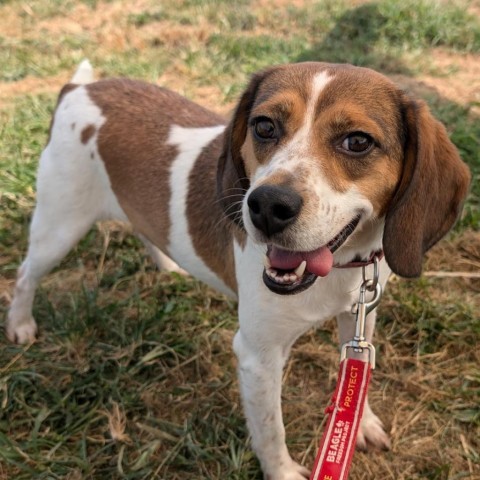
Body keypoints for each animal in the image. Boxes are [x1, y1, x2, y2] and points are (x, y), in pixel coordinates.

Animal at [5, 62, 470, 478]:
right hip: (58, 228)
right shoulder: (258, 358)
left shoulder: (359, 318)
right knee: (26, 273)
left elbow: (358, 376)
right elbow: (270, 431)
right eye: (264, 127)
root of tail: (80, 89)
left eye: (357, 141)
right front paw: (284, 473)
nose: (266, 206)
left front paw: (362, 424)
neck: (342, 267)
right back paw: (20, 324)